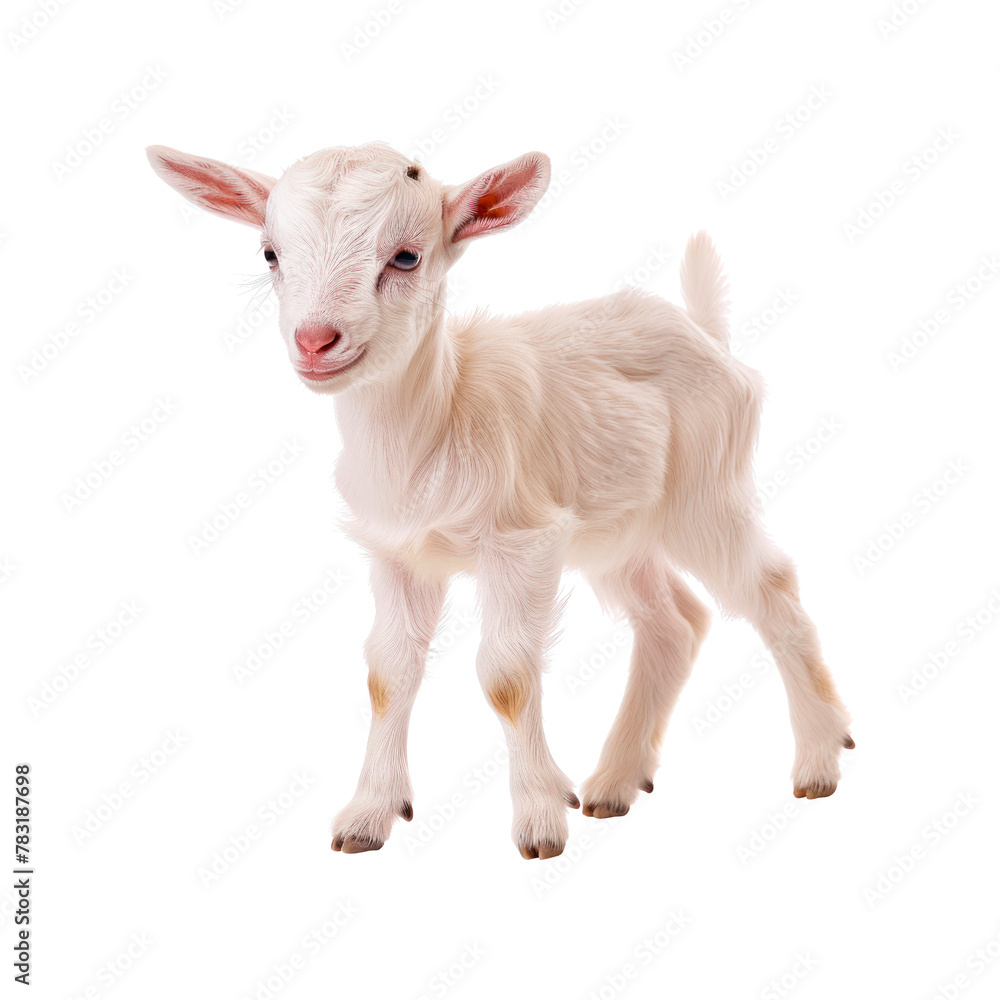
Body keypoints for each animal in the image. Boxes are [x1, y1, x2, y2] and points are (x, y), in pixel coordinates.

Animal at [147, 141, 853, 859]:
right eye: (270, 253)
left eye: (406, 257)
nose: (315, 342)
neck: (440, 415)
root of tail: (709, 335)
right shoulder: (398, 554)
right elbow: (387, 674)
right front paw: (368, 816)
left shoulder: (523, 540)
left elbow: (506, 676)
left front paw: (540, 820)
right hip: (615, 531)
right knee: (674, 623)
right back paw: (615, 784)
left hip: (706, 492)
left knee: (771, 588)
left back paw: (819, 762)